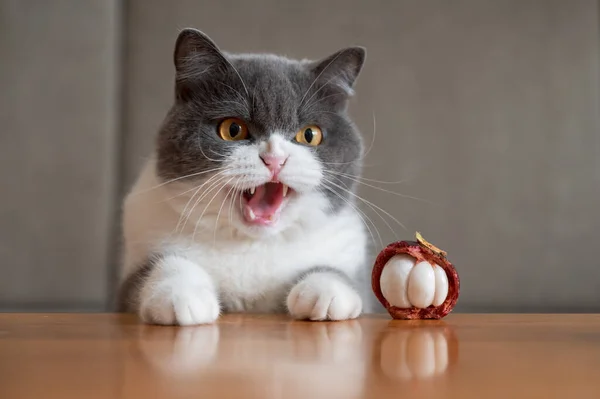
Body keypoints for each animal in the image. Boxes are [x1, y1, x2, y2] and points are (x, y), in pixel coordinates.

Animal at [116, 29, 370, 326]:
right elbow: (159, 267)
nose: (275, 159)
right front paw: (180, 295)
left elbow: (336, 272)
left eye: (310, 135)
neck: (252, 245)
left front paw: (326, 291)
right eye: (233, 129)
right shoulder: (128, 283)